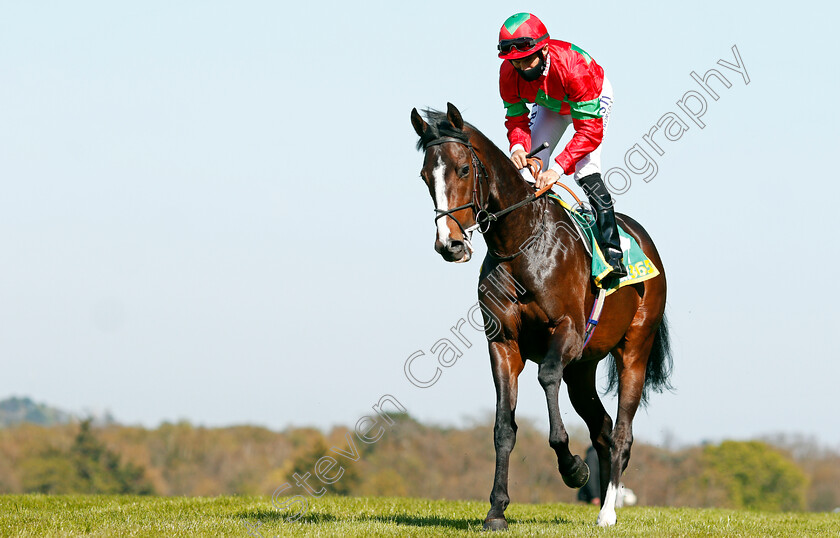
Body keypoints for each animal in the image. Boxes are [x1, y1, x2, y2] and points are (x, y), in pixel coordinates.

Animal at [410, 102, 672, 524]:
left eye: (464, 169)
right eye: (424, 176)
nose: (449, 244)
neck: (521, 242)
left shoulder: (566, 331)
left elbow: (547, 378)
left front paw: (572, 467)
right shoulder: (503, 343)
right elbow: (503, 426)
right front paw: (496, 509)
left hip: (635, 349)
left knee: (621, 432)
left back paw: (608, 512)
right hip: (583, 368)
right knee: (602, 428)